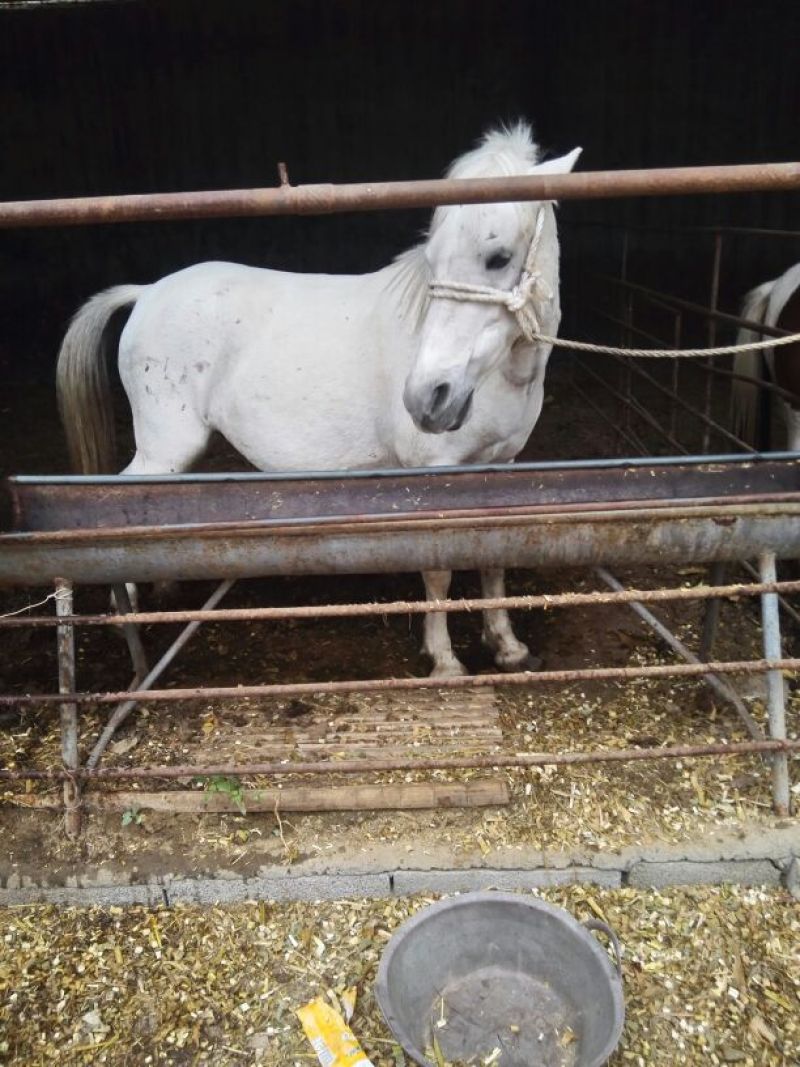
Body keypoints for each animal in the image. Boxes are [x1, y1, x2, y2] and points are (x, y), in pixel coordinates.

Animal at [56, 123, 581, 678]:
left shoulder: (502, 465)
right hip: (166, 448)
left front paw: (507, 647)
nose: (427, 397)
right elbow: (438, 567)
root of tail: (148, 291)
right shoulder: (433, 472)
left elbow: (494, 555)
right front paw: (444, 660)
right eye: (433, 260)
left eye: (497, 258)